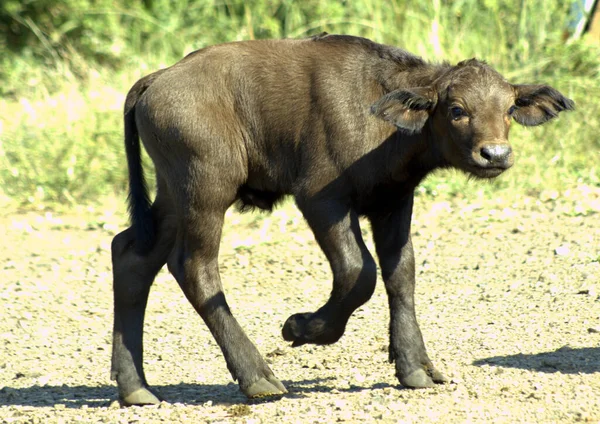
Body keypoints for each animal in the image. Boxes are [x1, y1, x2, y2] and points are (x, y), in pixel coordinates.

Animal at [110, 34, 576, 406]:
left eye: (510, 108)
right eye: (457, 109)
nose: (494, 155)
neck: (380, 117)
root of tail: (157, 79)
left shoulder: (394, 201)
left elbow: (400, 273)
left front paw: (415, 367)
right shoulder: (322, 199)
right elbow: (359, 270)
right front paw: (302, 328)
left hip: (173, 193)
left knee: (132, 255)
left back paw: (136, 388)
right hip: (205, 188)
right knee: (194, 267)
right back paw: (258, 377)